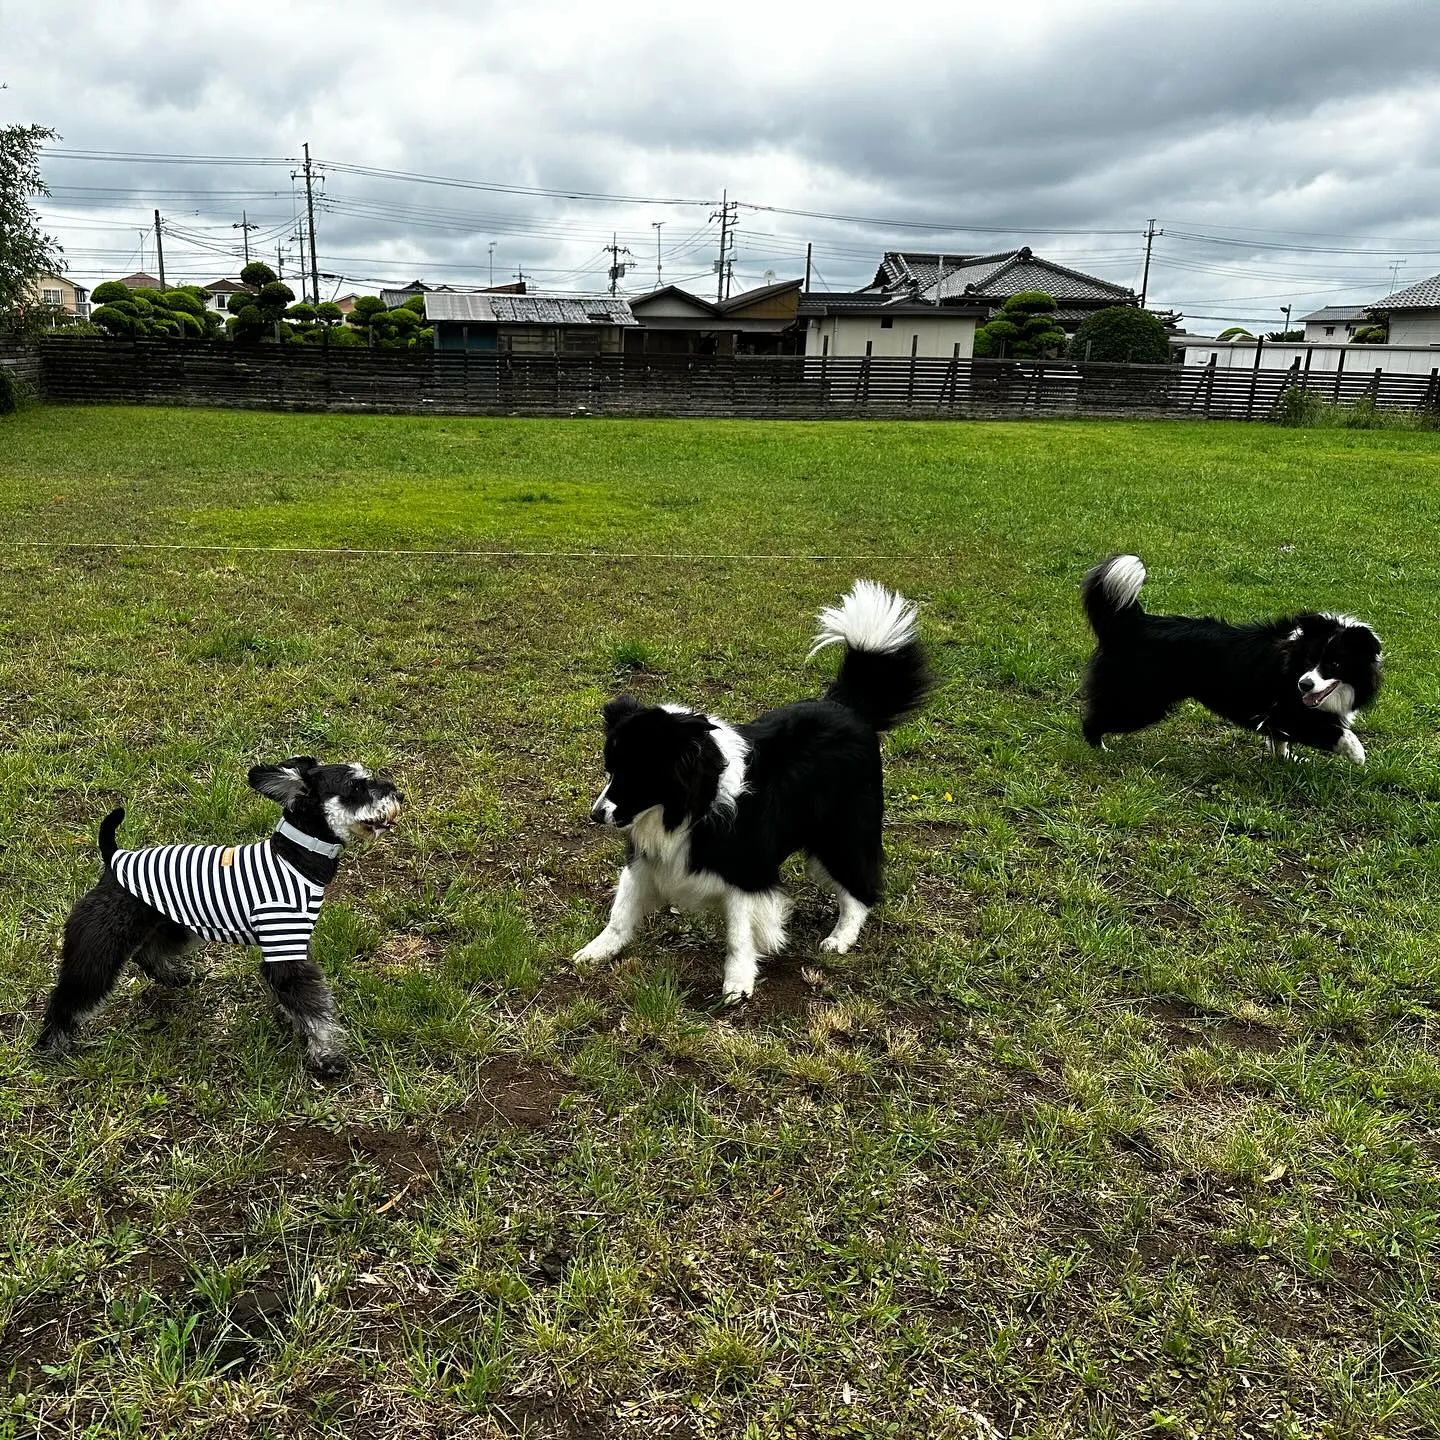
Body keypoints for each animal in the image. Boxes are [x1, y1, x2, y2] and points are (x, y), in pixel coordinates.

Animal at [35, 760, 406, 1077]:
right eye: (356, 786)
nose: (398, 795)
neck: (297, 858)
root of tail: (114, 858)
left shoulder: (287, 949)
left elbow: (301, 1001)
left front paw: (295, 1024)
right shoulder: (285, 948)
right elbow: (316, 1009)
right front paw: (327, 1055)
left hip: (181, 926)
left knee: (148, 953)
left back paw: (173, 976)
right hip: (101, 947)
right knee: (70, 996)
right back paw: (51, 1044)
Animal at [567, 576, 927, 1002]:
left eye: (637, 775)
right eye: (611, 770)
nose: (596, 815)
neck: (694, 802)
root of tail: (849, 708)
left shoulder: (747, 871)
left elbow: (739, 934)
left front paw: (737, 984)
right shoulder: (646, 856)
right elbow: (621, 911)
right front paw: (597, 949)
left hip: (842, 831)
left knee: (860, 887)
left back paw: (841, 937)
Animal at [1082, 552, 1376, 766]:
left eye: (1334, 664)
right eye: (1308, 661)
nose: (1304, 685)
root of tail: (1136, 625)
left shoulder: (1277, 716)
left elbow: (1280, 740)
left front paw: (1286, 759)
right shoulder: (1291, 712)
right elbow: (1337, 732)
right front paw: (1358, 755)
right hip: (1140, 700)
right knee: (1094, 719)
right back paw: (1100, 750)